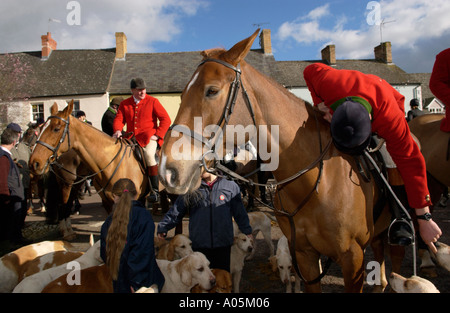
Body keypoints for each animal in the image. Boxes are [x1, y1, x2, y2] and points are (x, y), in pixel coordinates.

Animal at [158, 30, 394, 292]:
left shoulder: (353, 259)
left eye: (211, 90)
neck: (317, 185)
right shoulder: (304, 256)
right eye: (181, 95)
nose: (167, 169)